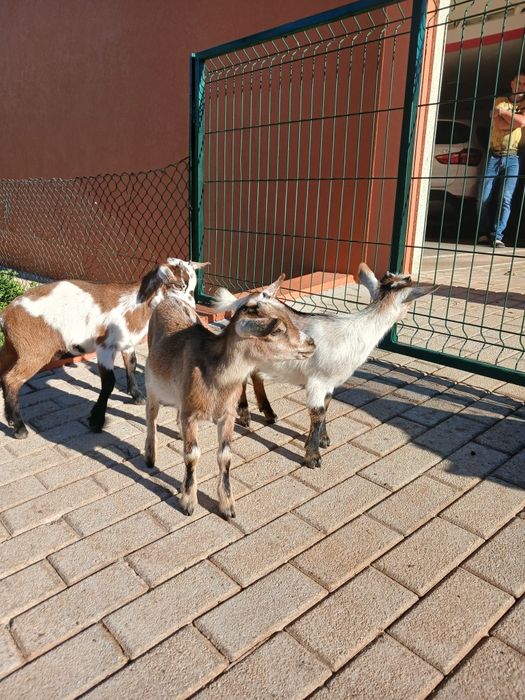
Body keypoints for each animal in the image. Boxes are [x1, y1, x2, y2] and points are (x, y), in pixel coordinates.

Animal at [0, 259, 208, 439]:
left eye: (192, 288)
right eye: (179, 285)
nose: (190, 307)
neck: (137, 302)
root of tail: (7, 315)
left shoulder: (127, 343)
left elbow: (132, 365)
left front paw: (136, 395)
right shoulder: (105, 348)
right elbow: (109, 382)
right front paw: (96, 420)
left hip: (12, 348)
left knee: (3, 374)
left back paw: (10, 419)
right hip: (34, 352)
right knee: (12, 380)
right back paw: (20, 428)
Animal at [144, 281, 315, 518]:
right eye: (277, 330)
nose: (311, 343)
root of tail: (169, 298)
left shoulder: (227, 415)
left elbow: (225, 456)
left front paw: (227, 506)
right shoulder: (191, 414)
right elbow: (192, 455)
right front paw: (188, 502)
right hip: (151, 385)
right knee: (151, 417)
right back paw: (150, 456)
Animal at [214, 264, 438, 469]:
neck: (357, 331)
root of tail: (243, 301)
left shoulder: (330, 383)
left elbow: (327, 405)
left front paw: (322, 439)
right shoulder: (318, 381)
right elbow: (318, 412)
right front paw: (312, 458)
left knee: (256, 376)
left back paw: (268, 413)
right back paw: (245, 415)